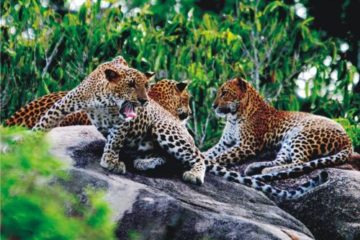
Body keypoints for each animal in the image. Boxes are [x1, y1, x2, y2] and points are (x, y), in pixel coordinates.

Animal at [204, 77, 352, 184]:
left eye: (225, 93)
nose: (213, 106)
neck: (234, 117)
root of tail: (347, 139)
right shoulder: (225, 143)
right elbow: (209, 152)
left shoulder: (247, 145)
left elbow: (220, 156)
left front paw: (206, 163)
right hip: (288, 141)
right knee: (283, 160)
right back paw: (256, 167)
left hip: (301, 136)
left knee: (299, 162)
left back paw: (266, 170)